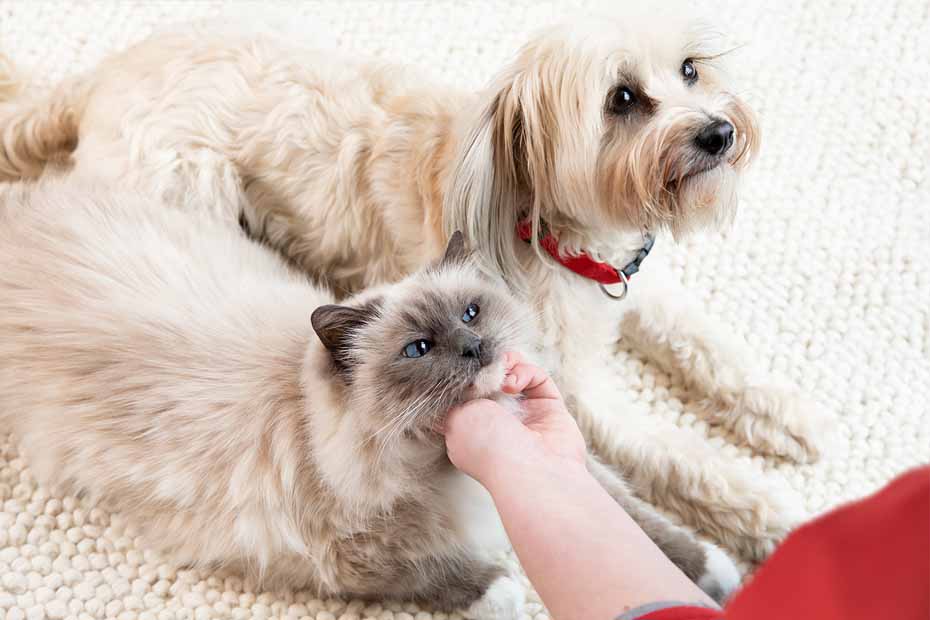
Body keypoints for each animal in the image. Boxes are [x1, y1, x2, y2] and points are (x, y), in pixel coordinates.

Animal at [0, 6, 828, 556]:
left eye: (690, 69)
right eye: (622, 99)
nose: (718, 132)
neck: (548, 225)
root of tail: (97, 79)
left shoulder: (634, 284)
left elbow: (710, 345)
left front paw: (786, 412)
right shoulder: (577, 389)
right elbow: (680, 456)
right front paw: (769, 513)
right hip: (183, 197)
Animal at [0, 180, 740, 616]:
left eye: (471, 313)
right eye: (418, 349)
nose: (474, 350)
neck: (443, 465)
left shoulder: (560, 460)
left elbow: (641, 525)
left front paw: (717, 574)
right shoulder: (336, 557)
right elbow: (461, 578)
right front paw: (514, 595)